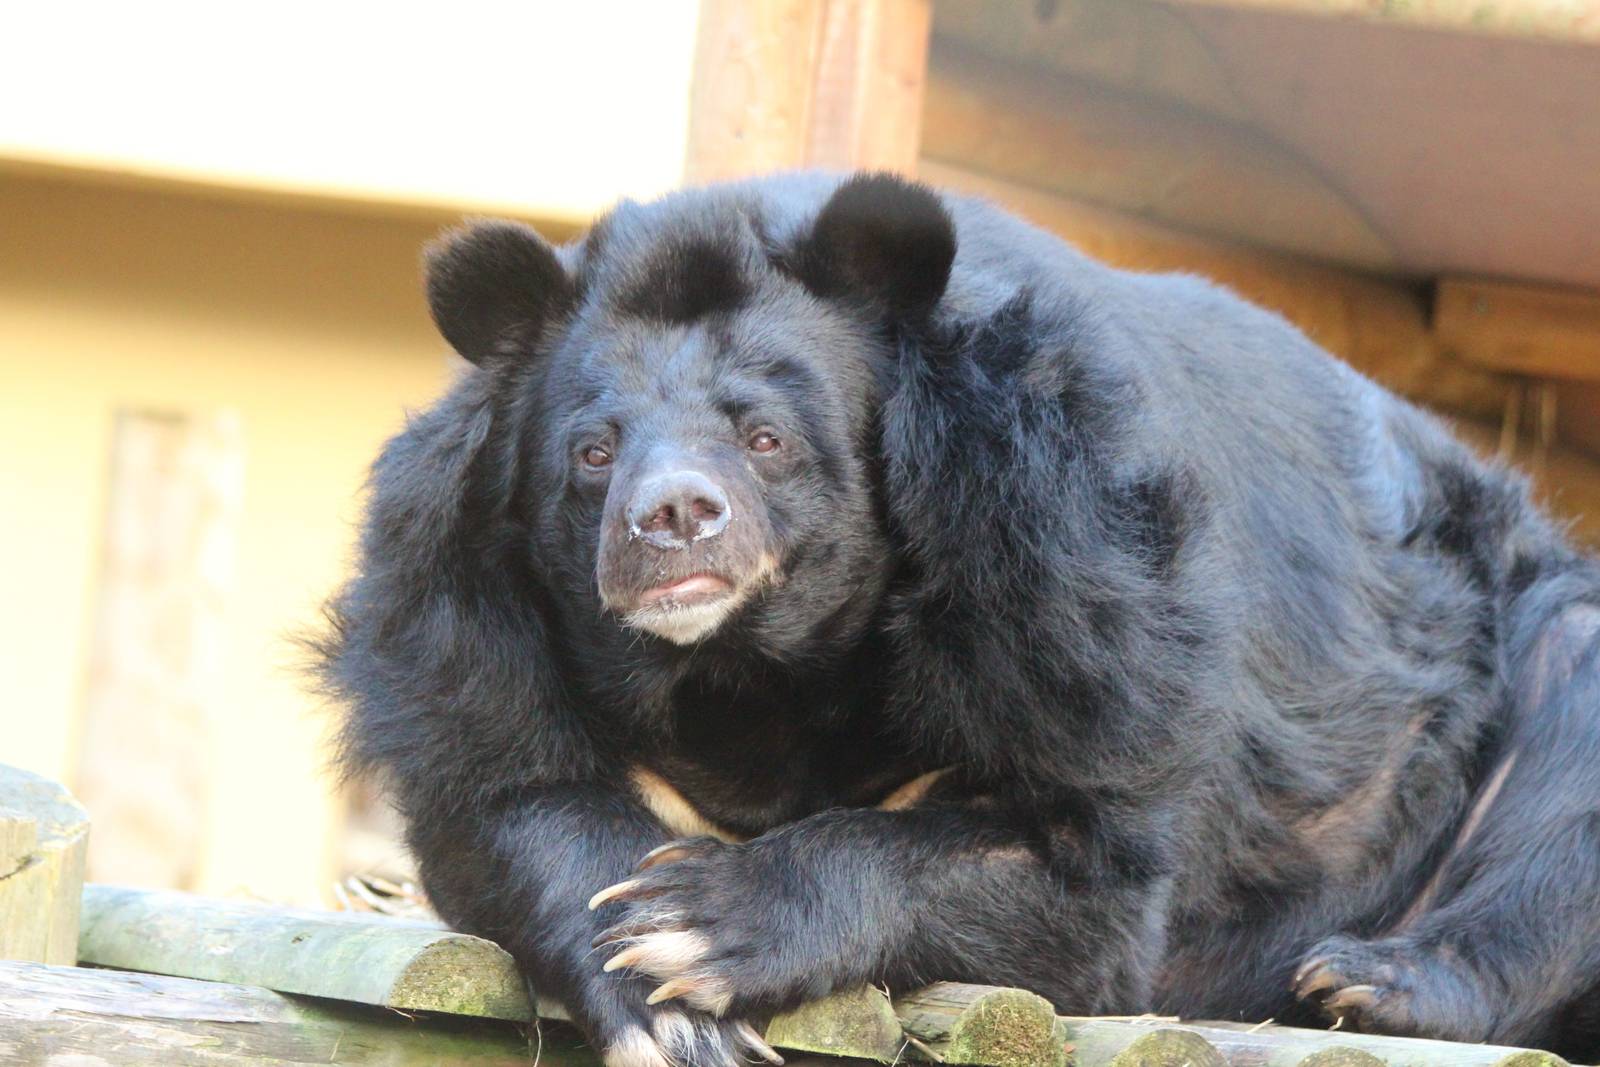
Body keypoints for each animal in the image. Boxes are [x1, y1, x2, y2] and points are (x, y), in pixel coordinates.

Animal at [315, 172, 1600, 1067]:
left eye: (764, 434)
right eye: (593, 450)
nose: (671, 516)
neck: (750, 672)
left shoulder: (1070, 567)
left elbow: (1085, 863)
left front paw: (706, 923)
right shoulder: (456, 594)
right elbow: (506, 790)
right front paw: (660, 985)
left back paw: (1370, 980)